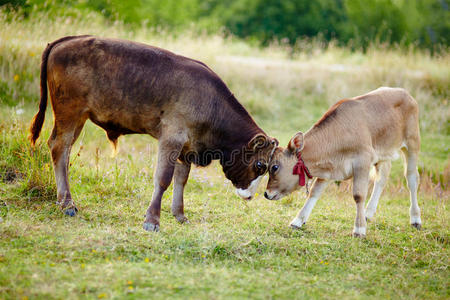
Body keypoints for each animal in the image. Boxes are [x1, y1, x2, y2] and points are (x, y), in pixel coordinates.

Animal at [29, 35, 278, 232]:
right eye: (260, 165)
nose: (249, 196)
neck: (211, 104)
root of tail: (67, 40)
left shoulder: (186, 147)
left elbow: (181, 179)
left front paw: (180, 215)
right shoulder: (171, 138)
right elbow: (163, 178)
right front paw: (152, 220)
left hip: (78, 117)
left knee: (62, 150)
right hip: (69, 112)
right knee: (59, 147)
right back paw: (67, 204)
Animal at [264, 88, 422, 238]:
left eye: (275, 167)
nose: (266, 194)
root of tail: (405, 93)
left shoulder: (362, 161)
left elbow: (358, 195)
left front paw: (359, 229)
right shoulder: (329, 169)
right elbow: (314, 192)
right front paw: (298, 220)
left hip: (412, 142)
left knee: (412, 179)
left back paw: (415, 219)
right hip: (383, 153)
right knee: (381, 179)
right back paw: (367, 213)